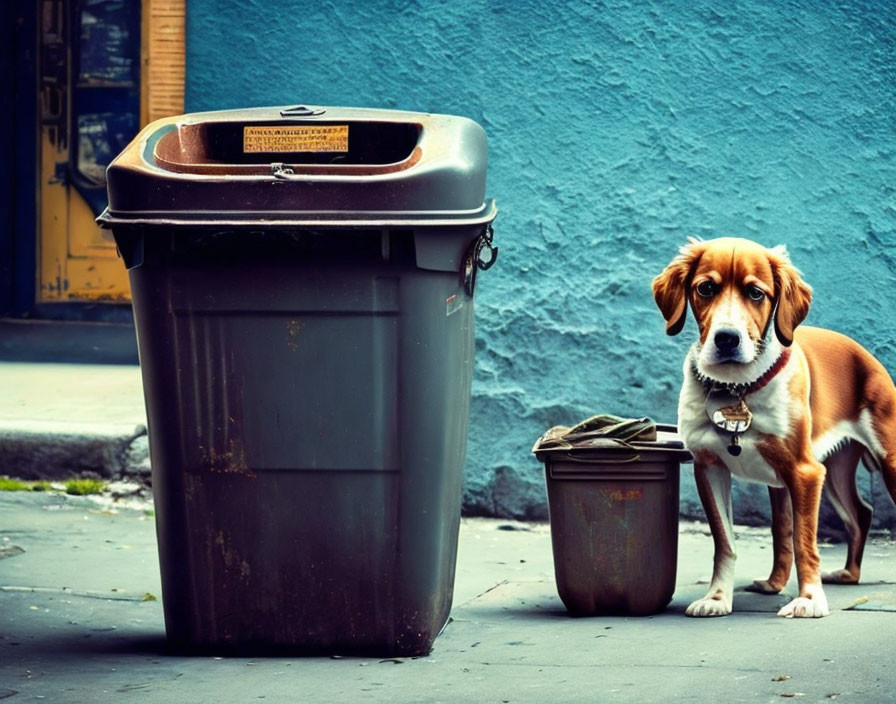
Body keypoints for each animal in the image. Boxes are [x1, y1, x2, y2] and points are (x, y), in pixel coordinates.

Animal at [652, 236, 896, 616]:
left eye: (756, 293)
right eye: (705, 288)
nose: (727, 338)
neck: (736, 387)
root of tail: (864, 354)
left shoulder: (805, 472)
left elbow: (804, 541)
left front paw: (809, 600)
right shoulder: (710, 468)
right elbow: (726, 541)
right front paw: (717, 598)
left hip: (880, 461)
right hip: (822, 472)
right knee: (855, 515)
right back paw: (820, 577)